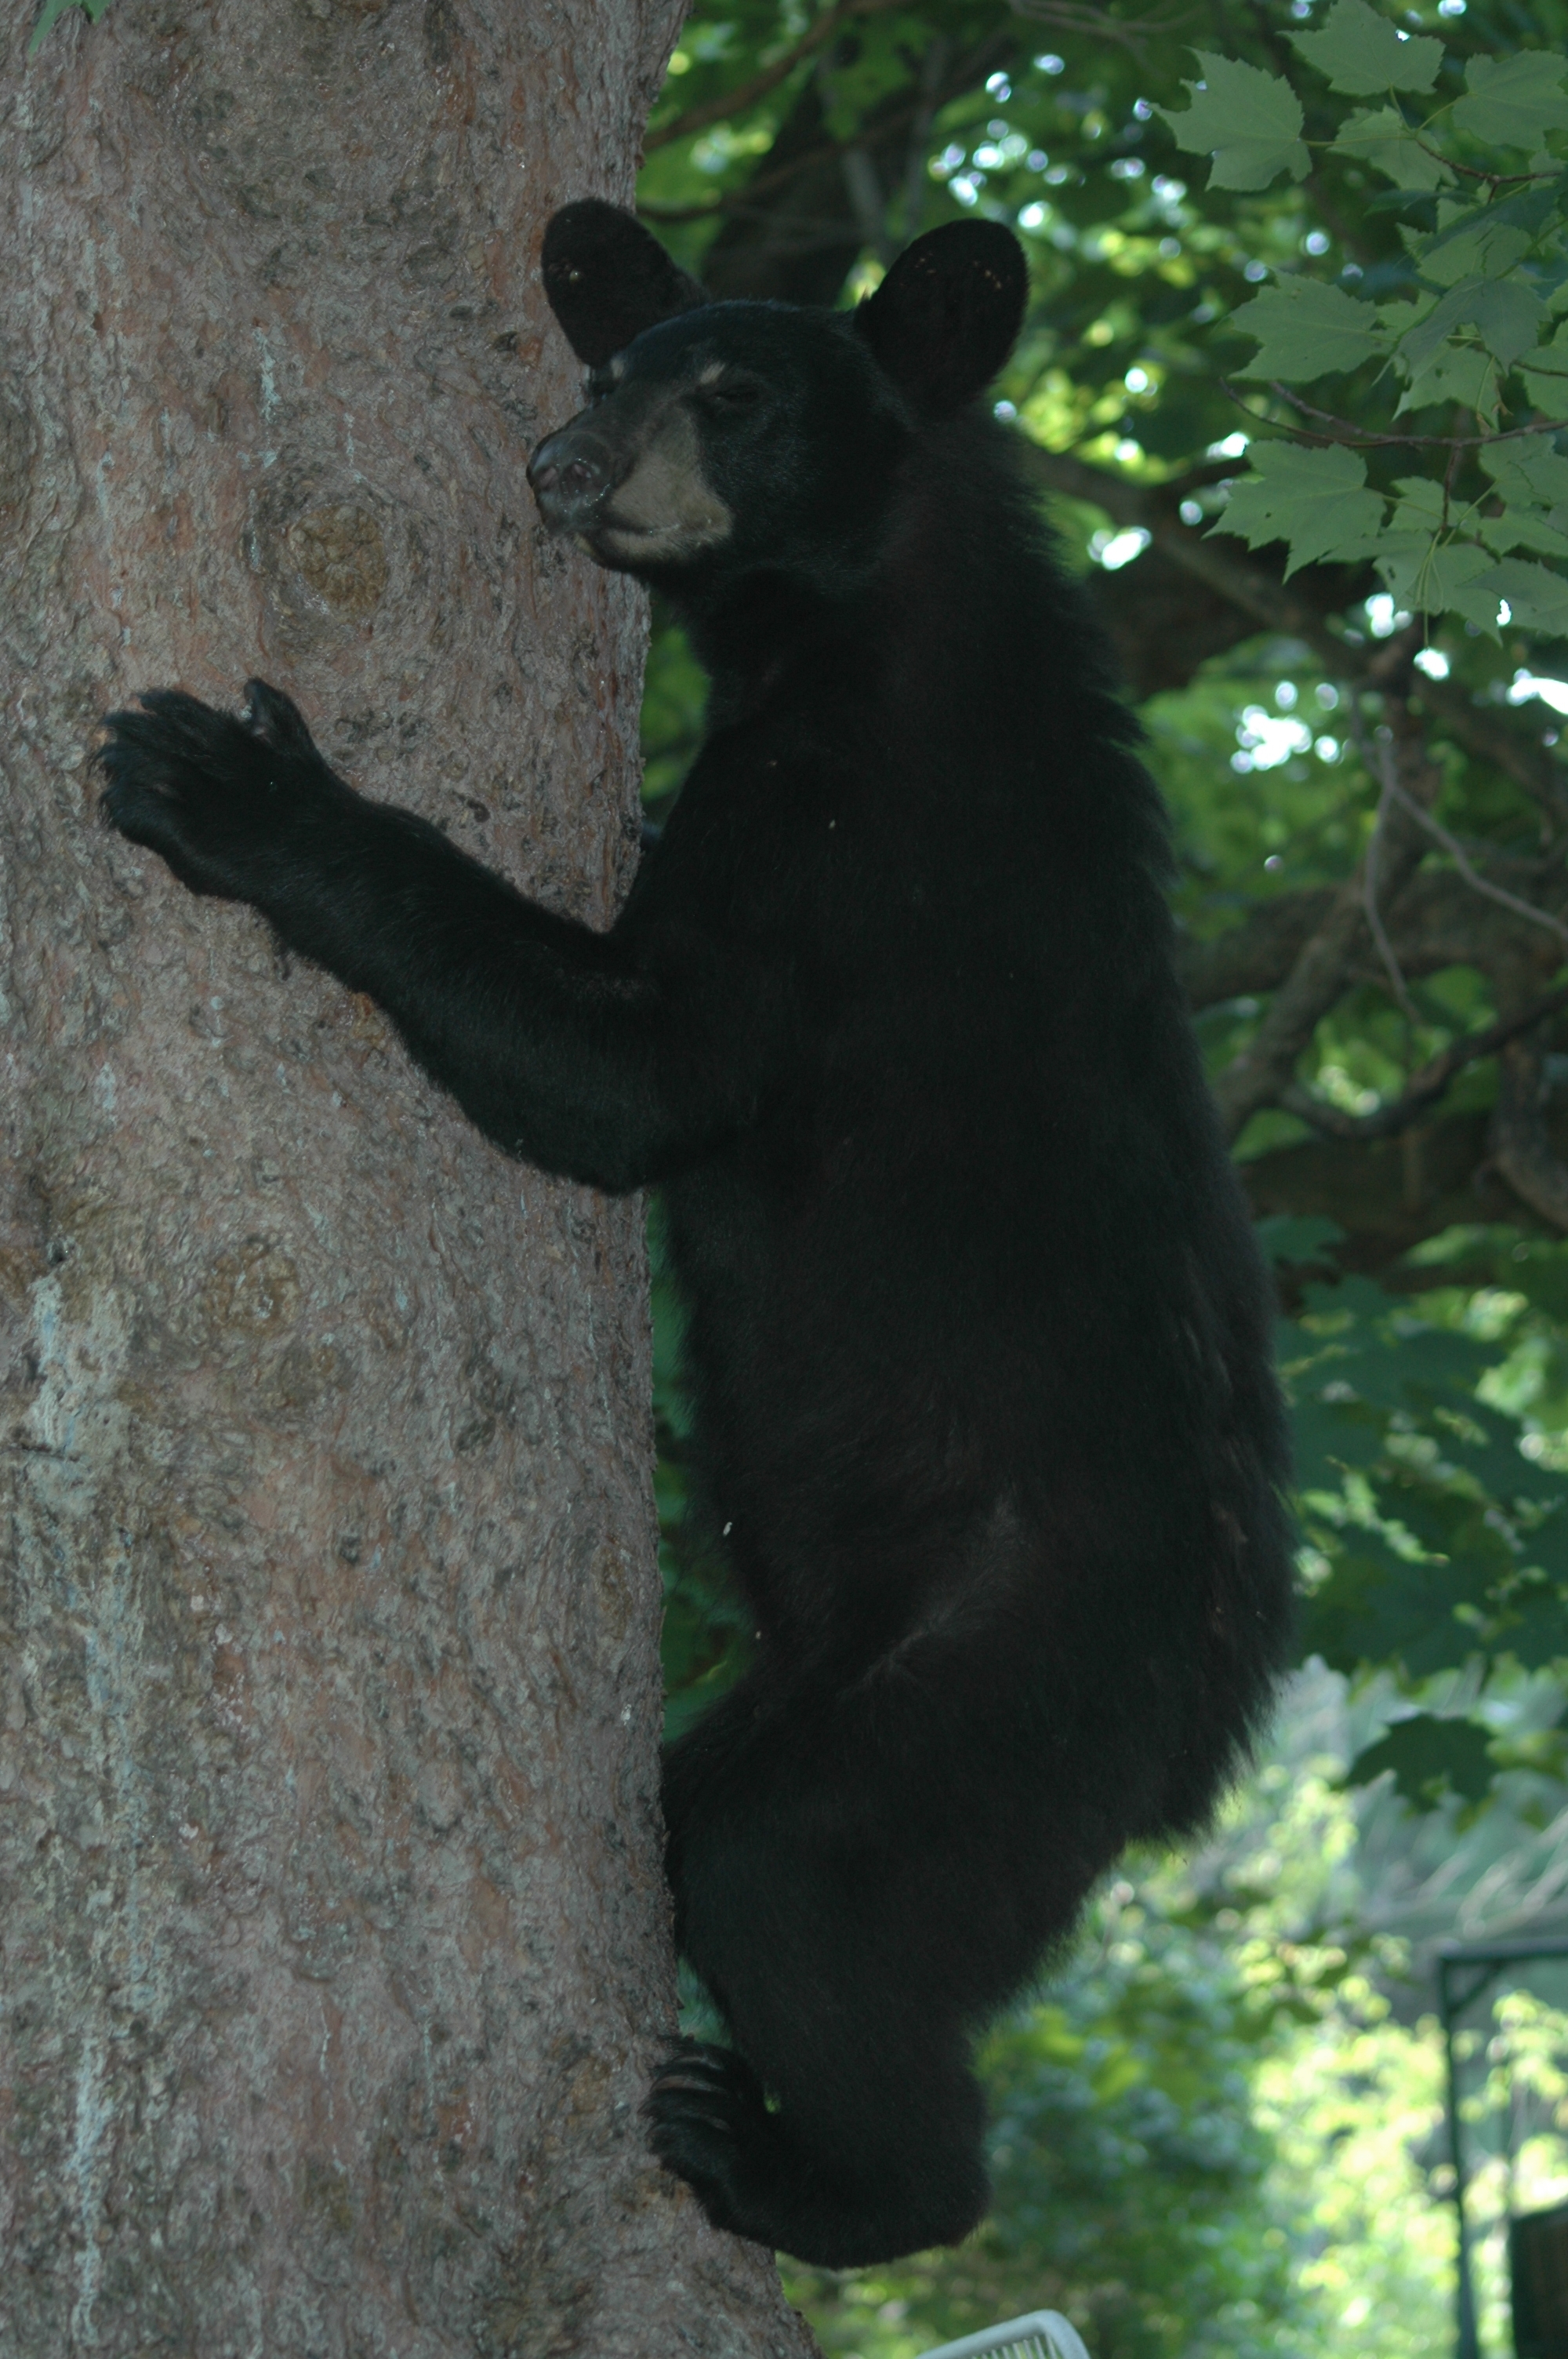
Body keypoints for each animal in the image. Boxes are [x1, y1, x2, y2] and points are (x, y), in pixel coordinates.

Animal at [97, 201, 1294, 2269]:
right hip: (822, 1671)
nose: (561, 464)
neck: (871, 617)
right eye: (609, 366)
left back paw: (802, 2164)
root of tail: (1199, 1738)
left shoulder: (849, 860)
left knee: (792, 1875)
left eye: (731, 394)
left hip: (1003, 1668)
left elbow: (632, 1066)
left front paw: (235, 785)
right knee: (701, 1804)